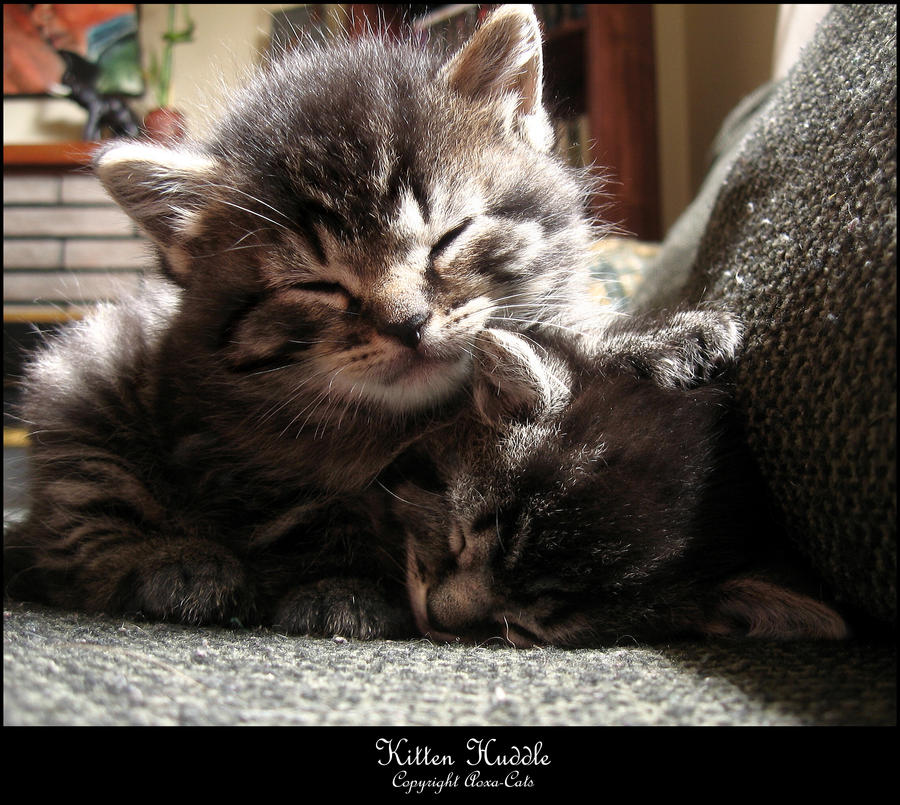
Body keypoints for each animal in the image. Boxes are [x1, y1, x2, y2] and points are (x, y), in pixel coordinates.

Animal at [5, 4, 604, 636]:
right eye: (317, 285)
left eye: (450, 238)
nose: (407, 324)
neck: (405, 420)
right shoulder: (235, 456)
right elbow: (308, 517)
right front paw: (340, 587)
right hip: (83, 378)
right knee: (78, 527)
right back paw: (178, 565)